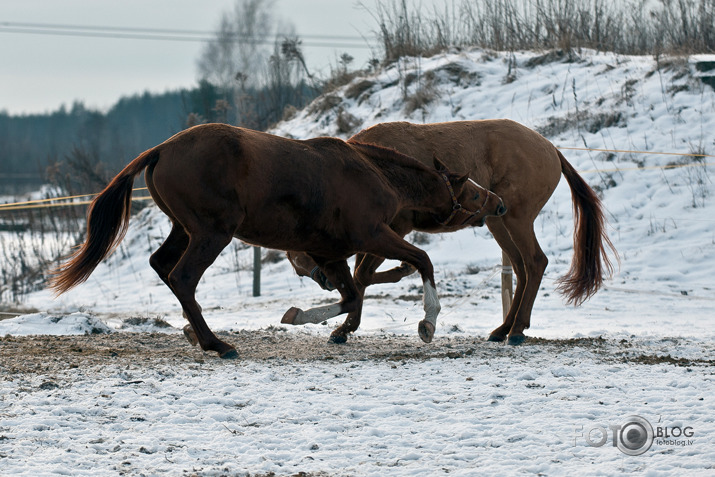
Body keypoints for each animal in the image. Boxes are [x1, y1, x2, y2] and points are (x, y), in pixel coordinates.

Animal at [50, 122, 506, 356]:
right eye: (470, 191)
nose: (499, 204)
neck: (373, 174)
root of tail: (161, 149)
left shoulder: (329, 253)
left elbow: (350, 297)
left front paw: (307, 318)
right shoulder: (374, 235)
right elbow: (422, 261)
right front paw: (428, 322)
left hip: (185, 229)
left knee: (162, 267)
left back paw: (198, 334)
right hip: (211, 233)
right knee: (182, 278)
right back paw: (216, 344)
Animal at [288, 117, 620, 344]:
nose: (326, 280)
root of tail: (550, 148)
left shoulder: (393, 228)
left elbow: (362, 275)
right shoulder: (371, 231)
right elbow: (362, 276)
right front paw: (347, 325)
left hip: (516, 218)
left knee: (535, 262)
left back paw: (516, 330)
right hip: (499, 222)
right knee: (521, 267)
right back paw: (504, 328)